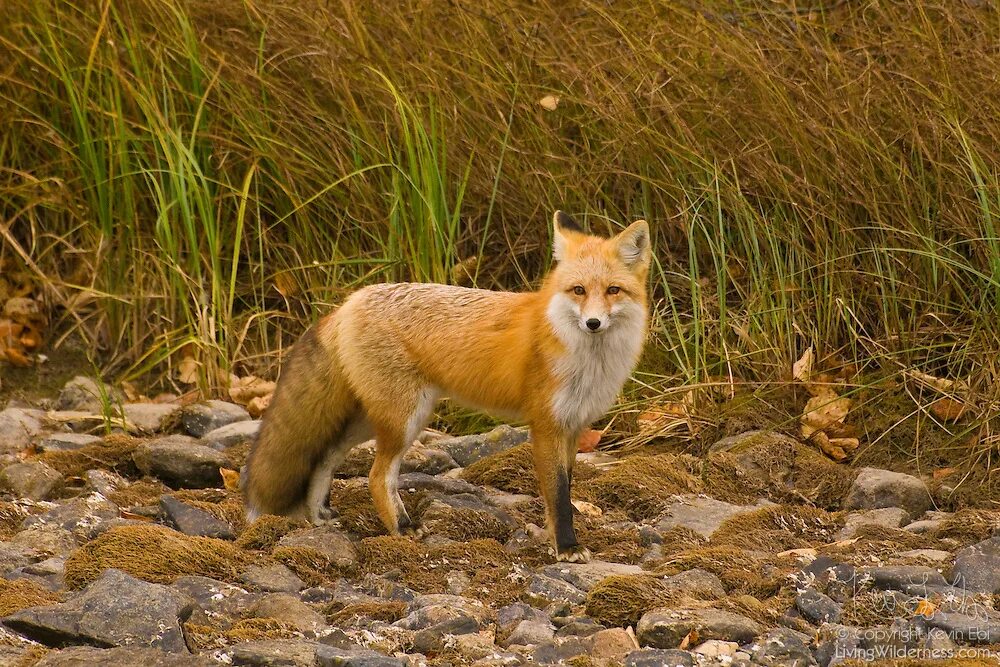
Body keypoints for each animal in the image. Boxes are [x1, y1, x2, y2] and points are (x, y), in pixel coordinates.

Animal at [241, 210, 648, 564]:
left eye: (613, 290)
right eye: (578, 290)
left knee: (325, 456)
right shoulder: (546, 425)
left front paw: (555, 538)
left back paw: (319, 515)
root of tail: (349, 302)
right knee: (376, 477)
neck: (585, 356)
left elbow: (558, 494)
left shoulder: (573, 425)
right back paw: (402, 528)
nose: (593, 323)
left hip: (371, 419)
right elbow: (560, 495)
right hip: (405, 419)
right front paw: (566, 546)